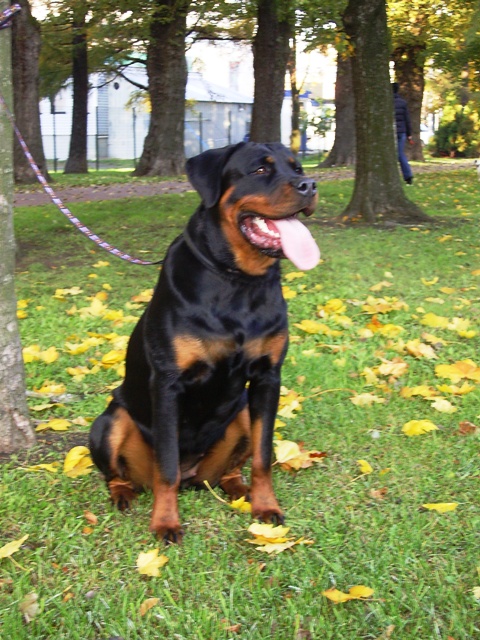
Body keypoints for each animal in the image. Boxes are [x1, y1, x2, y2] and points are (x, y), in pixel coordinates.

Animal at [89, 141, 320, 542]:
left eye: (297, 168)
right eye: (260, 170)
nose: (309, 185)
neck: (238, 281)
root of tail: (193, 475)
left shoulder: (267, 377)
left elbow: (263, 456)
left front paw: (266, 506)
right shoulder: (168, 383)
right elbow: (166, 465)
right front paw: (165, 523)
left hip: (241, 412)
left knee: (231, 469)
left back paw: (241, 490)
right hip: (109, 421)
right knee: (120, 472)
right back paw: (123, 494)